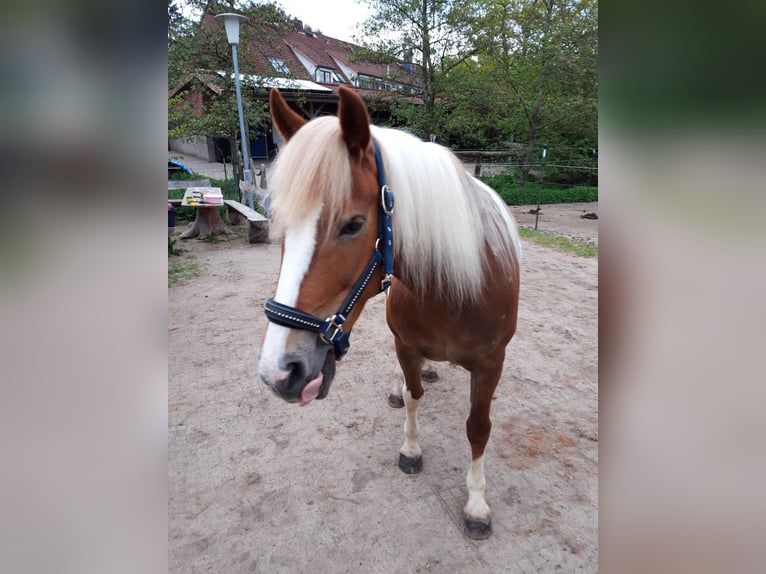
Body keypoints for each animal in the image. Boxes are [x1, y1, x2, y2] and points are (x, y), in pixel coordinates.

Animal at [258, 85, 520, 540]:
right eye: (283, 225)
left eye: (353, 224)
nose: (280, 371)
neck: (454, 291)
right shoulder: (406, 346)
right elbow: (415, 398)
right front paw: (411, 448)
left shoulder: (491, 364)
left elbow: (478, 427)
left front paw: (476, 504)